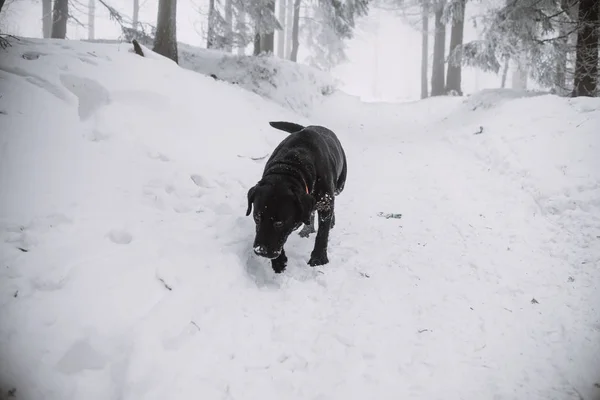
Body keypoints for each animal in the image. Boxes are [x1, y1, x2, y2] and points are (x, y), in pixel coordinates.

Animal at [244, 121, 346, 272]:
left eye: (279, 223)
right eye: (257, 217)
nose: (261, 250)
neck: (292, 165)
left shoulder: (325, 201)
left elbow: (322, 233)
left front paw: (318, 258)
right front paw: (279, 261)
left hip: (339, 186)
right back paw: (307, 229)